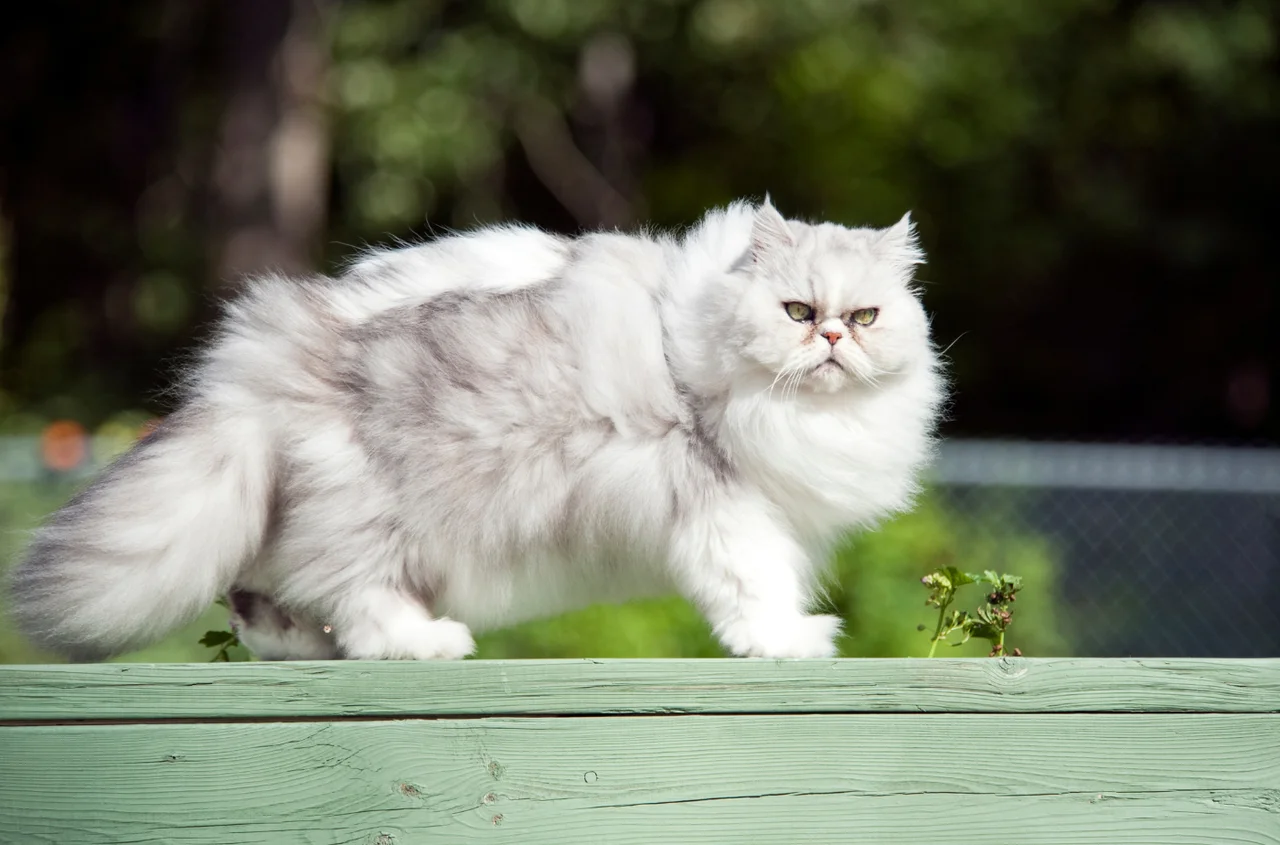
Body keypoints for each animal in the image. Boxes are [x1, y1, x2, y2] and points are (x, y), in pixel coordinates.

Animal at [5, 198, 947, 660]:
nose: (833, 339)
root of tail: (259, 359)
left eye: (866, 315)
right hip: (374, 520)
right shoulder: (724, 504)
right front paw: (788, 644)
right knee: (359, 604)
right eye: (798, 311)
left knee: (258, 597)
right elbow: (755, 588)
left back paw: (302, 649)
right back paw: (426, 645)